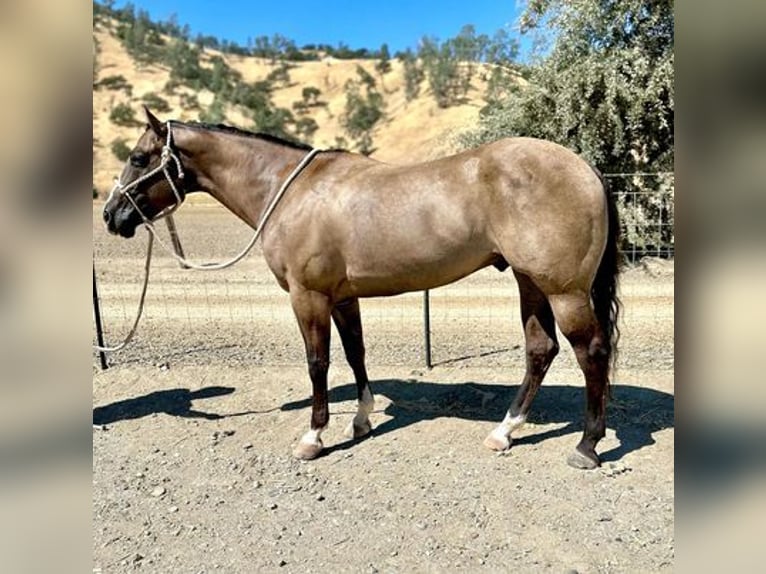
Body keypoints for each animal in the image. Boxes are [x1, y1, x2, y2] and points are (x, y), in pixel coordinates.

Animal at [103, 107, 620, 469]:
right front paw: (361, 419)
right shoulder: (342, 297)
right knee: (540, 349)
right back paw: (505, 432)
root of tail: (585, 168)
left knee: (590, 352)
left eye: (137, 158)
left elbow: (318, 363)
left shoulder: (308, 296)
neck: (290, 191)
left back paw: (588, 446)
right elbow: (356, 353)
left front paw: (313, 437)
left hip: (564, 290)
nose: (111, 215)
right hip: (529, 281)